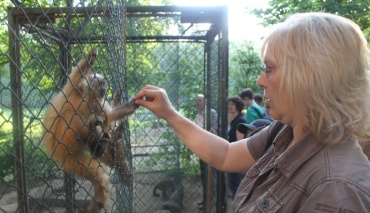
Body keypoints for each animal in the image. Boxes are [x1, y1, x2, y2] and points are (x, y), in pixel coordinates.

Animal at [42, 48, 137, 213]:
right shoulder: (75, 89)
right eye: (102, 84)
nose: (105, 89)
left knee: (94, 122)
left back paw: (99, 147)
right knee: (85, 122)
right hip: (66, 144)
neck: (87, 98)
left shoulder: (96, 104)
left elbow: (108, 115)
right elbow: (76, 75)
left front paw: (131, 105)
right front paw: (91, 57)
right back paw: (99, 146)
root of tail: (67, 154)